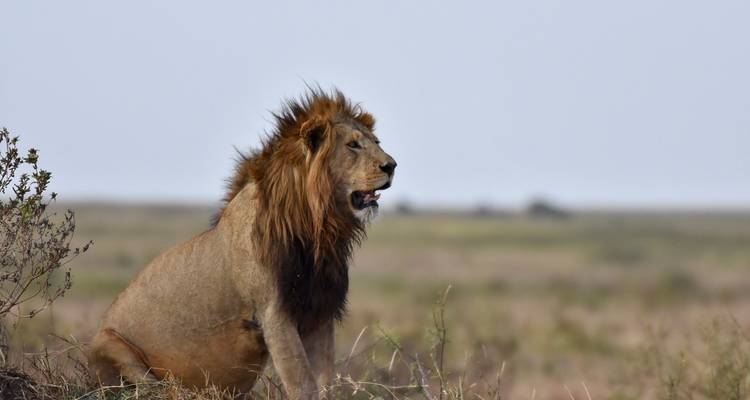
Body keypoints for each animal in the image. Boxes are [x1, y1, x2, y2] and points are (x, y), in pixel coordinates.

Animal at [87, 89, 396, 399]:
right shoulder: (273, 314)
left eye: (377, 142)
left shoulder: (319, 312)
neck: (317, 231)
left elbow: (324, 381)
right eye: (352, 145)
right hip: (108, 344)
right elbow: (303, 383)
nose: (392, 166)